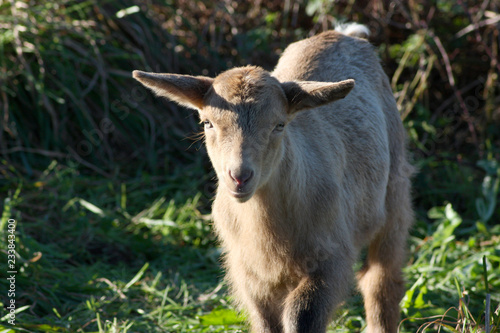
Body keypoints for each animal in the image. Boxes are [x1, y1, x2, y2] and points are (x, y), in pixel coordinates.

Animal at [133, 24, 414, 332]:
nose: (240, 176)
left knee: (381, 281)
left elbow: (302, 316)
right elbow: (266, 322)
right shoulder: (248, 273)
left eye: (279, 125)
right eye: (207, 123)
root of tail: (345, 34)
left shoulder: (330, 260)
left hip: (395, 188)